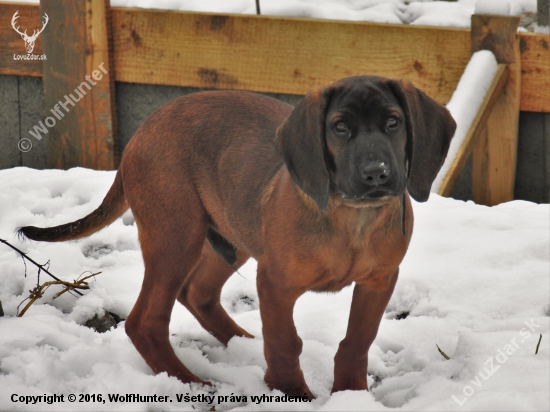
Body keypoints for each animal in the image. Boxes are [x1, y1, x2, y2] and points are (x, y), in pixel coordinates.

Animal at [18, 75, 458, 398]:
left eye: (393, 122)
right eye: (340, 128)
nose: (376, 174)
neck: (352, 220)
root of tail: (141, 132)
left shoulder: (378, 281)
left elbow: (356, 342)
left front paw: (350, 396)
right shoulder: (275, 283)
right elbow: (284, 342)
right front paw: (291, 394)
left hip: (231, 233)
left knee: (198, 293)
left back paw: (242, 345)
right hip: (176, 236)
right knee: (145, 321)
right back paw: (192, 384)